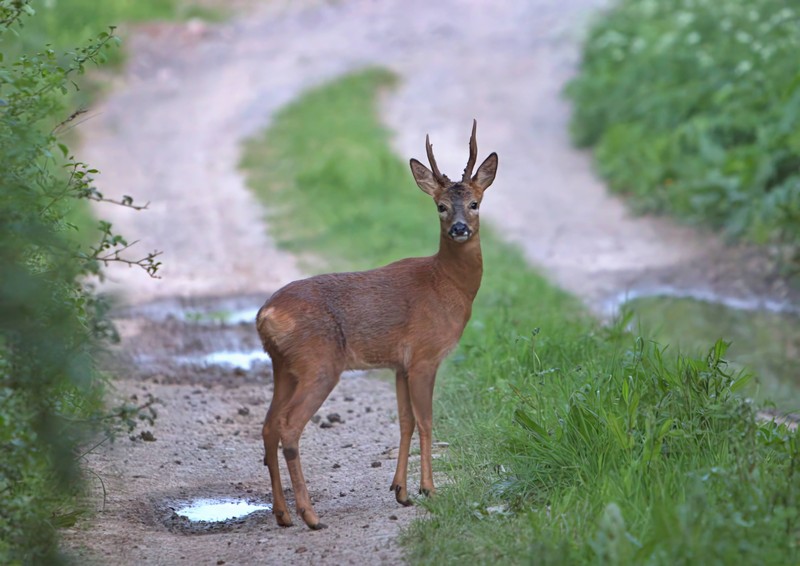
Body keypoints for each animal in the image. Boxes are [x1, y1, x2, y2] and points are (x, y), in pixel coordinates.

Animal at [256, 121, 496, 532]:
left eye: (475, 202)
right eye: (440, 206)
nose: (460, 228)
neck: (447, 284)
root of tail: (265, 314)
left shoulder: (399, 364)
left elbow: (405, 422)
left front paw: (400, 491)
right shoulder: (425, 356)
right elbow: (427, 421)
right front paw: (429, 489)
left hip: (283, 366)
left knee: (269, 425)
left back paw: (283, 514)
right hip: (319, 363)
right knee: (288, 426)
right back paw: (310, 515)